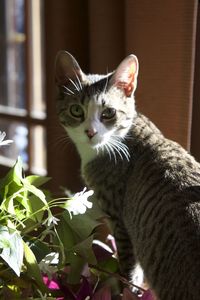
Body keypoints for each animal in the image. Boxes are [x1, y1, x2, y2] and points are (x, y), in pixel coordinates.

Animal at [54, 51, 200, 300]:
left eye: (108, 113)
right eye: (76, 110)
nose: (90, 132)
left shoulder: (119, 220)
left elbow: (129, 268)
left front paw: (127, 290)